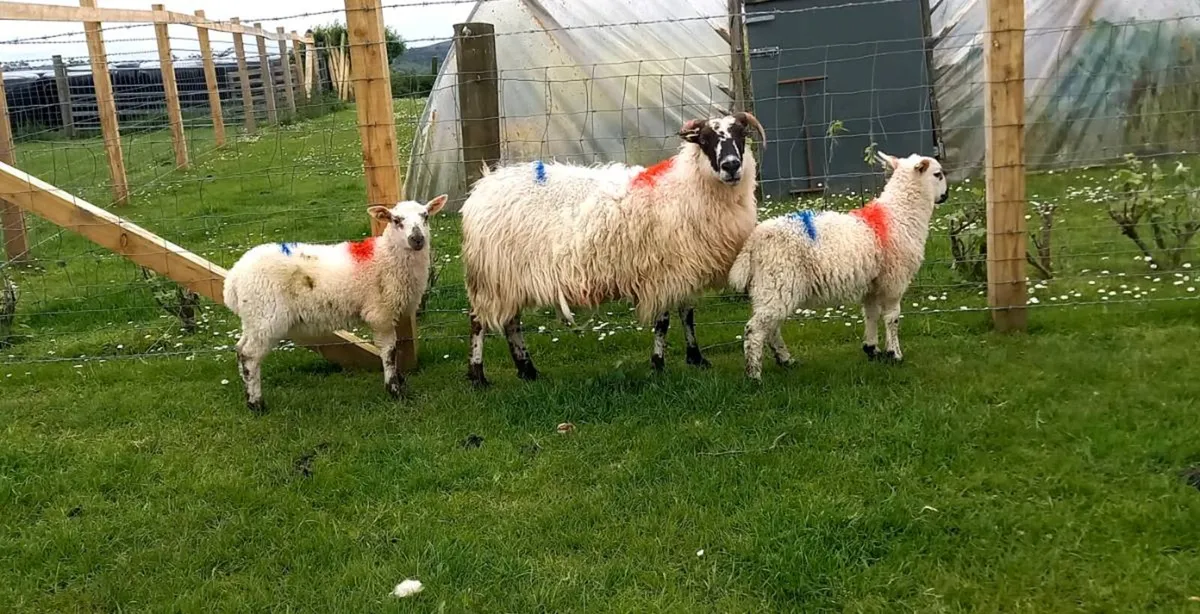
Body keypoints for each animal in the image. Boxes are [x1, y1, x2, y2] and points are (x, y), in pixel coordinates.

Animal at [223, 194, 448, 412]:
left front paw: (399, 382)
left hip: (254, 318)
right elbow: (389, 351)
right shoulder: (380, 314)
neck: (385, 256)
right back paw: (257, 404)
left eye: (425, 216)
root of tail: (233, 278)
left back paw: (248, 394)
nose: (417, 239)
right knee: (250, 356)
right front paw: (394, 390)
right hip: (266, 315)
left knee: (241, 349)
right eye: (396, 220)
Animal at [459, 111, 766, 386]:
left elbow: (687, 314)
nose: (731, 166)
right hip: (491, 275)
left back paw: (527, 370)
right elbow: (664, 321)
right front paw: (658, 364)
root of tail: (482, 187)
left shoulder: (686, 266)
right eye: (704, 139)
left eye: (741, 135)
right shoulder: (664, 272)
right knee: (478, 322)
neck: (685, 187)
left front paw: (696, 358)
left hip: (507, 277)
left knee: (511, 322)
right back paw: (478, 376)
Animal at [727, 152, 948, 381]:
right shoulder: (894, 281)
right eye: (938, 174)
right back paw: (754, 376)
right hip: (778, 282)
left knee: (771, 328)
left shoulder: (872, 283)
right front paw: (894, 354)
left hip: (770, 289)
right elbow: (892, 318)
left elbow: (871, 314)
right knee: (755, 330)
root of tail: (752, 243)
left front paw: (872, 349)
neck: (899, 214)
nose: (946, 196)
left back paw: (786, 360)